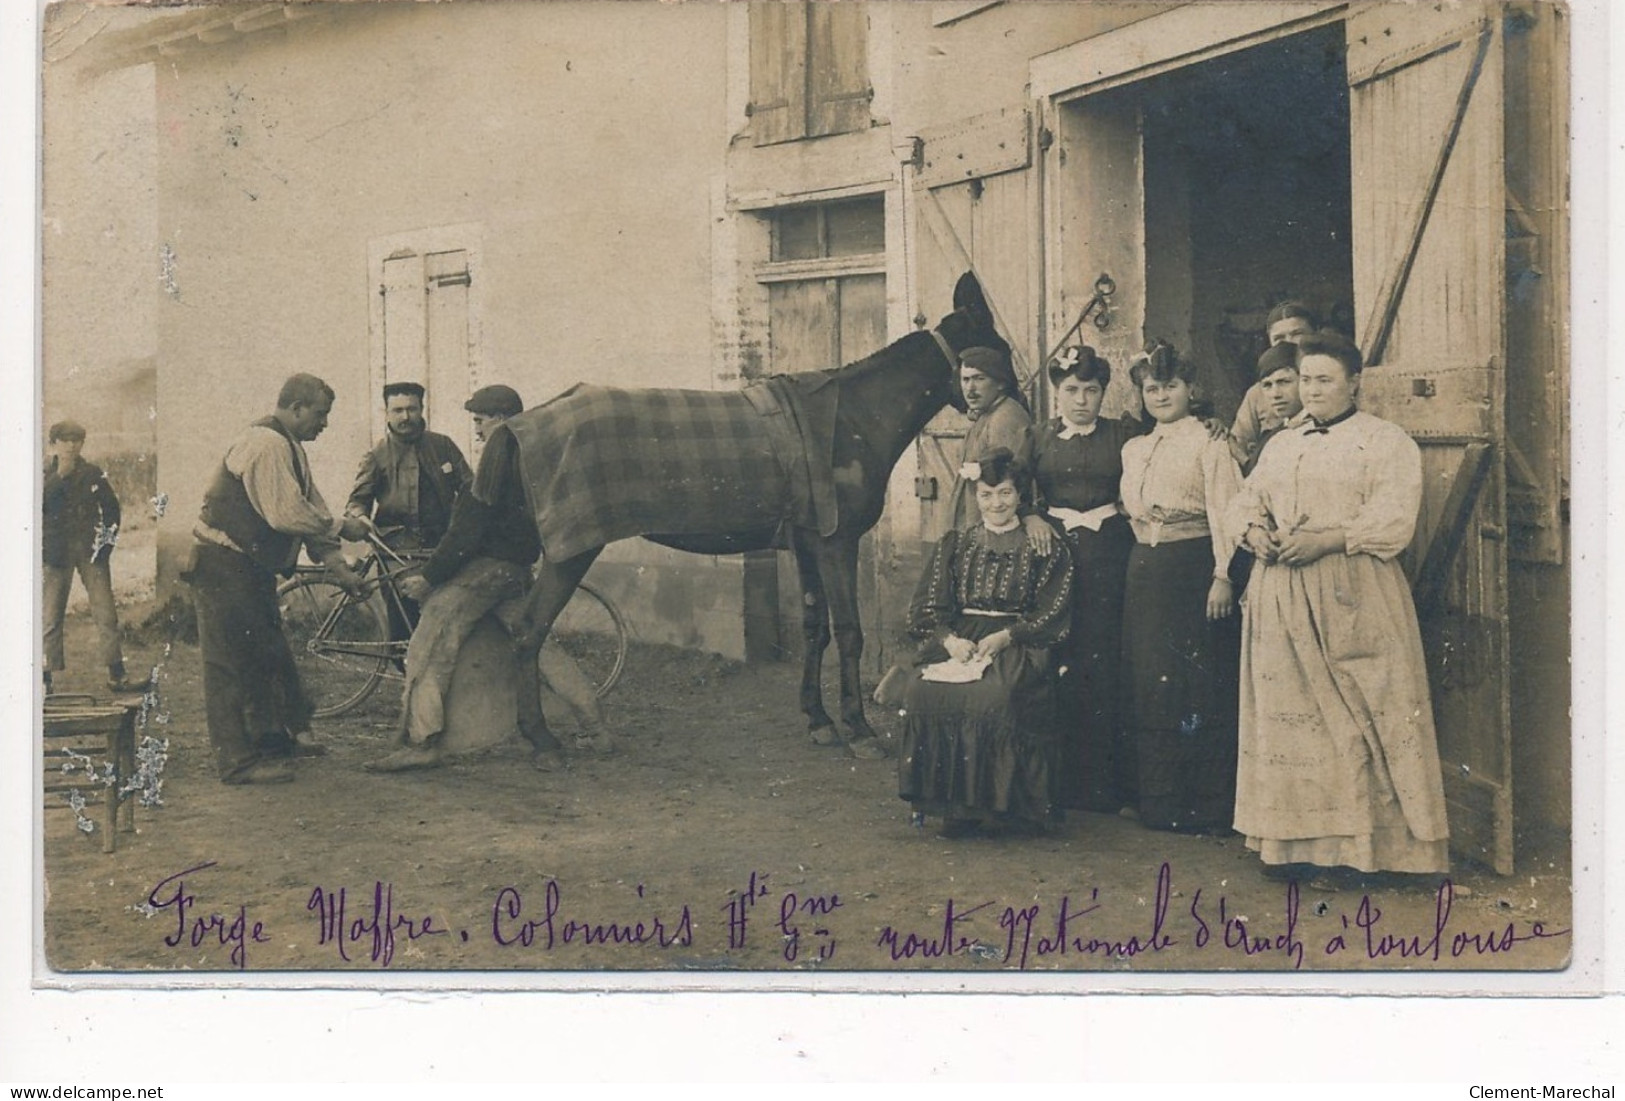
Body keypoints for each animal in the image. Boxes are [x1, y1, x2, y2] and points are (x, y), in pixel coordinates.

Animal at [513, 271, 1007, 763]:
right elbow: (849, 631)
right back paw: (541, 739)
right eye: (993, 350)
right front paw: (859, 727)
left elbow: (814, 629)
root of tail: (523, 424)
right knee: (530, 630)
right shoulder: (837, 544)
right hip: (570, 553)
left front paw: (819, 719)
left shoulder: (808, 546)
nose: (1011, 399)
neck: (852, 418)